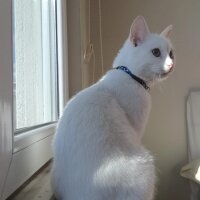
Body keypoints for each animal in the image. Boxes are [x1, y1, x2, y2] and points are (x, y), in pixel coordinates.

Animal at [51, 16, 175, 200]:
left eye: (171, 54)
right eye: (156, 52)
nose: (171, 64)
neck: (129, 75)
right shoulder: (137, 130)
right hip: (145, 166)